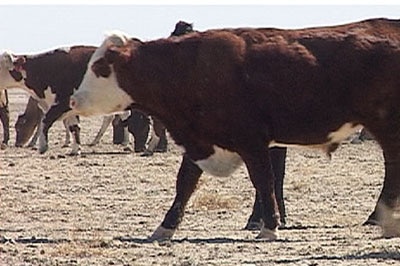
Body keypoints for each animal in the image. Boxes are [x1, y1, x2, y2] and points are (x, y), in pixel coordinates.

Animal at [69, 17, 400, 240]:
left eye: (100, 68)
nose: (74, 99)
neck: (191, 69)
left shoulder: (252, 141)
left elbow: (264, 181)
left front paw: (269, 227)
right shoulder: (200, 139)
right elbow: (185, 183)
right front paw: (164, 228)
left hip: (385, 126)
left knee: (392, 169)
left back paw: (380, 216)